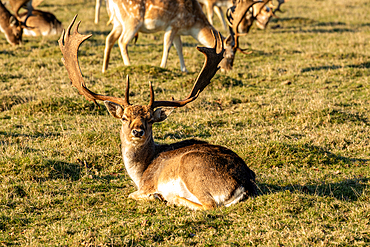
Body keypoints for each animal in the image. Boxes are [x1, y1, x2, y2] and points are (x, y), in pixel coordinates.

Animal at [59, 15, 256, 210]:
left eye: (150, 119)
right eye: (124, 118)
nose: (137, 131)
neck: (140, 173)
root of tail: (244, 184)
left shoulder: (147, 184)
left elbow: (131, 194)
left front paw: (156, 196)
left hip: (192, 169)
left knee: (210, 205)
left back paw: (168, 197)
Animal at [99, 0, 258, 73]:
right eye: (229, 56)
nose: (229, 70)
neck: (192, 25)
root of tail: (110, 2)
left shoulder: (177, 30)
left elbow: (179, 47)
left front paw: (184, 69)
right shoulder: (173, 25)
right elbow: (168, 46)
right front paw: (162, 66)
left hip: (118, 22)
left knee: (109, 39)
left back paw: (105, 68)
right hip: (132, 20)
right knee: (122, 41)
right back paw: (129, 65)